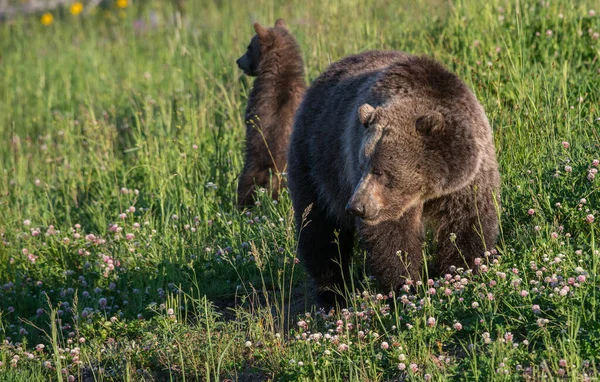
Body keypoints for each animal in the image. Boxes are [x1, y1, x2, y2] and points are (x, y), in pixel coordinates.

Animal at [288, 50, 500, 308]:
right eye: (361, 166)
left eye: (379, 171)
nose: (357, 206)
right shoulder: (384, 198)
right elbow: (391, 238)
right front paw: (405, 286)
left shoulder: (468, 179)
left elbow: (468, 222)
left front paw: (464, 271)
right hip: (315, 165)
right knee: (319, 229)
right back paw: (333, 294)